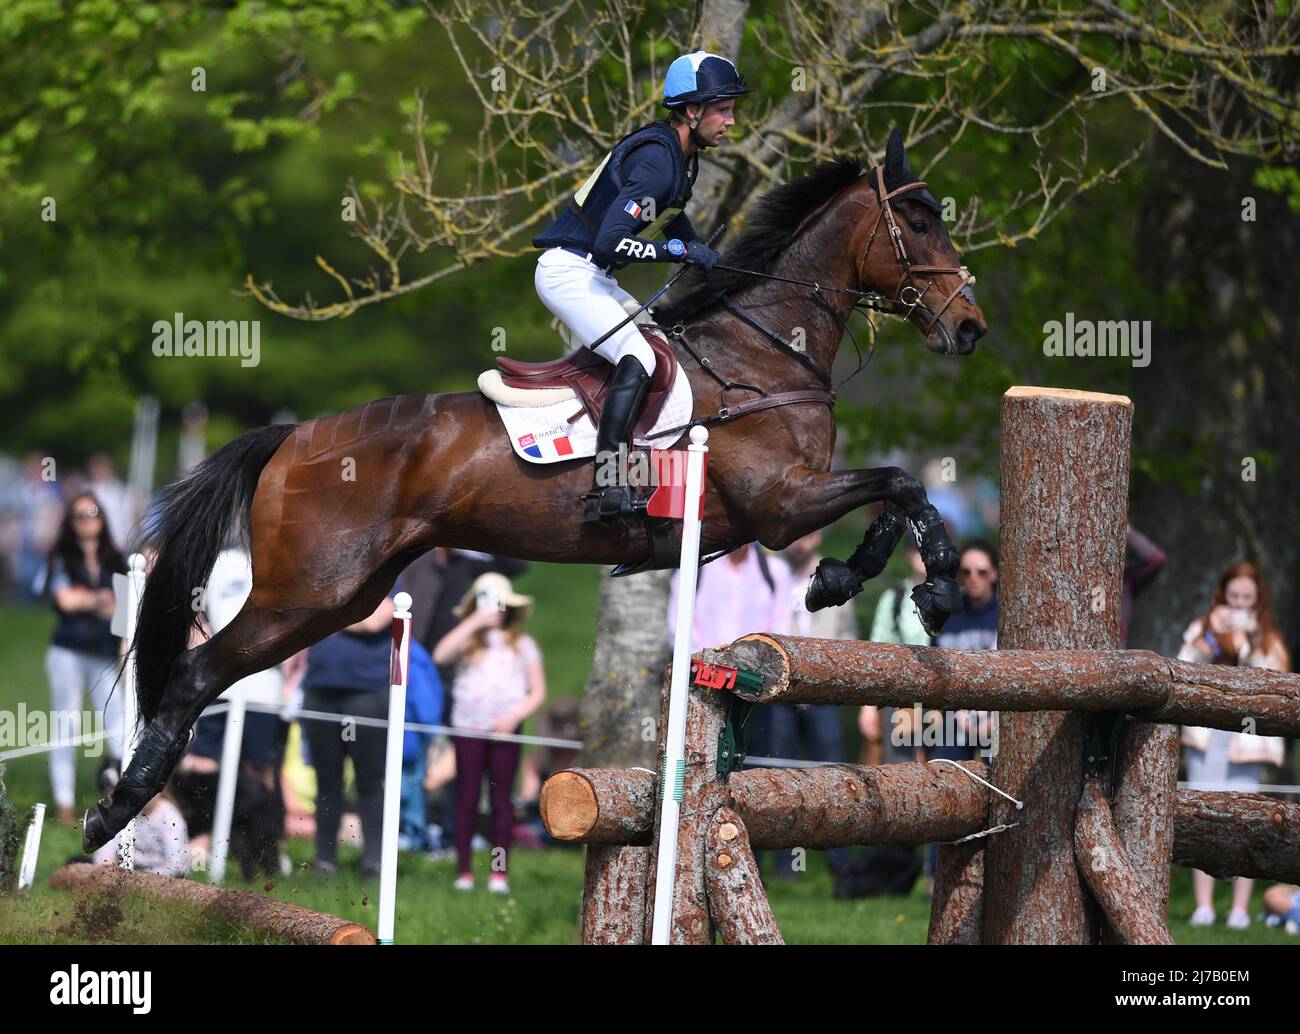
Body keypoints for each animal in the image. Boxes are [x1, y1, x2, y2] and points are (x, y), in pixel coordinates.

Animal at [84, 128, 986, 851]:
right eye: (918, 221)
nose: (970, 327)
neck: (765, 353)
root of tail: (293, 435)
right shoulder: (781, 505)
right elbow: (902, 483)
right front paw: (937, 586)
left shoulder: (791, 502)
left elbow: (892, 497)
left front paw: (848, 577)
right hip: (305, 590)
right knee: (195, 672)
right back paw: (116, 812)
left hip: (343, 598)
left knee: (207, 673)